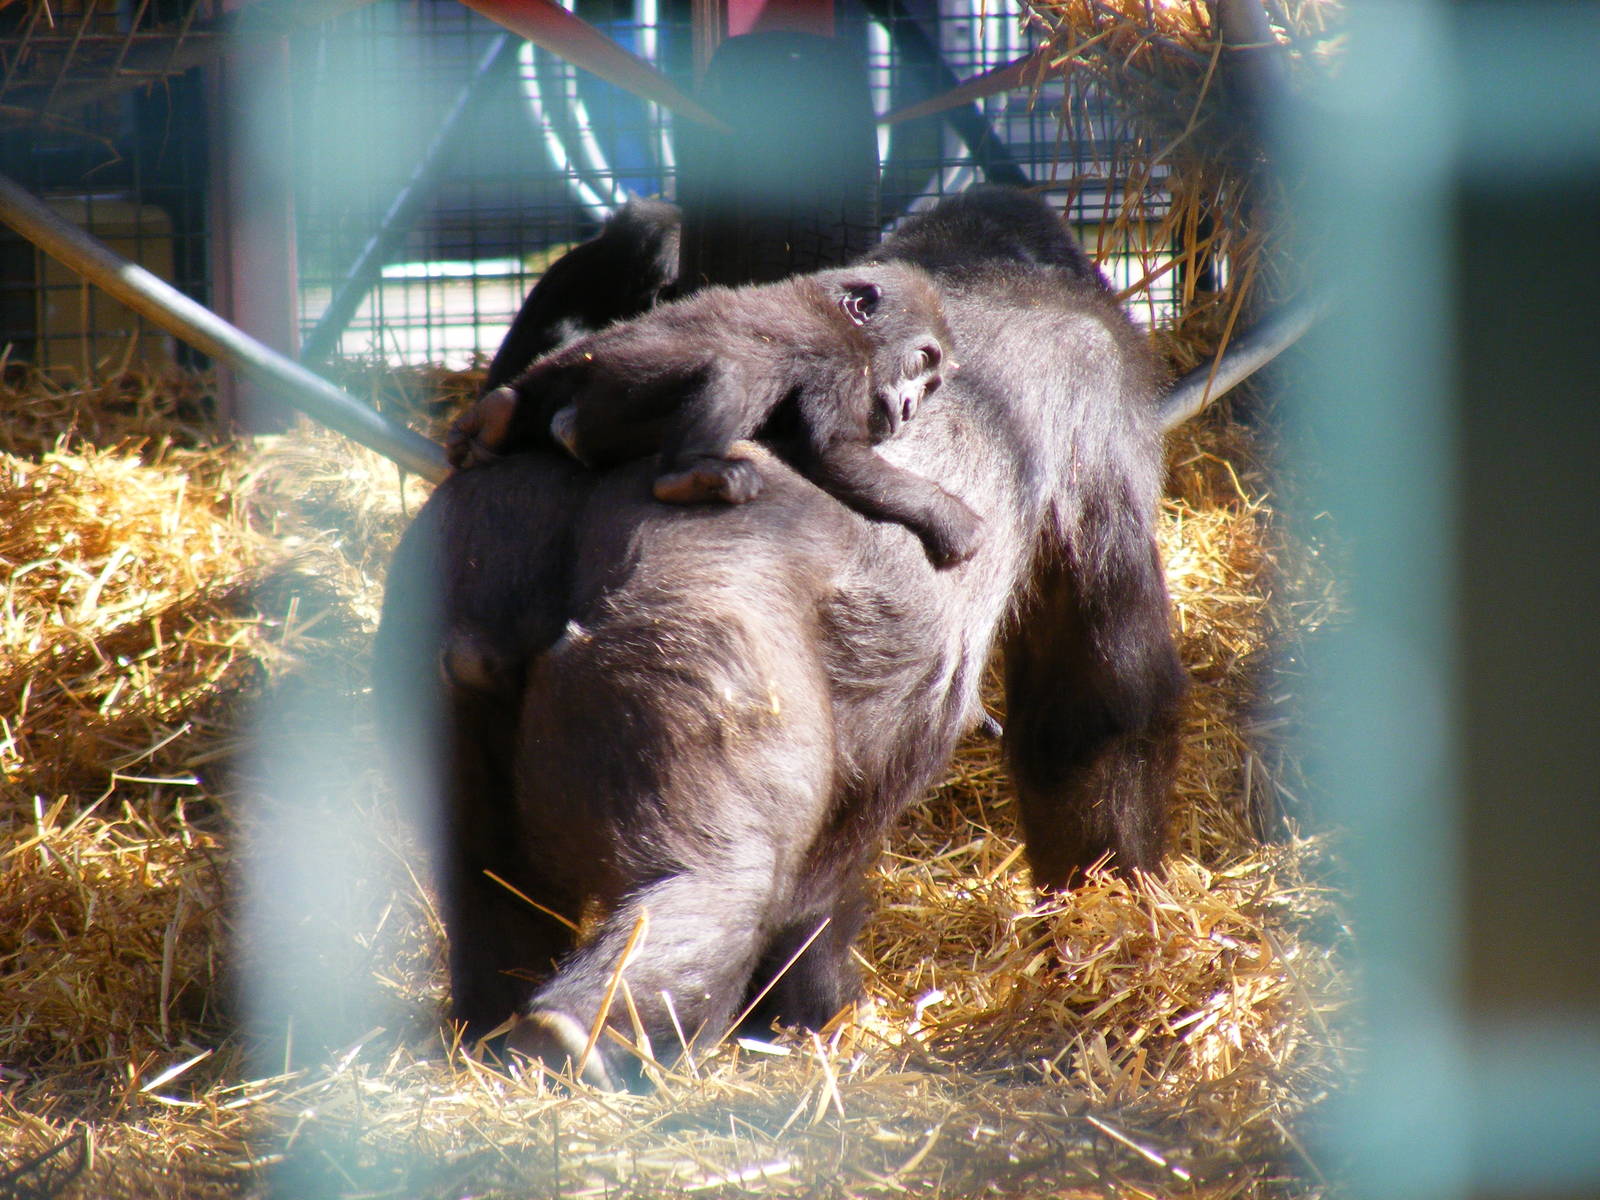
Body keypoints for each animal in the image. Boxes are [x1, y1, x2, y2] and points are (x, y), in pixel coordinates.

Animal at [449, 261, 982, 569]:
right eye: (919, 363)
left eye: (931, 387)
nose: (911, 408)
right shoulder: (841, 359)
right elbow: (835, 451)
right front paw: (949, 517)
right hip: (613, 387)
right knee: (729, 373)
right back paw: (688, 476)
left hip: (572, 371)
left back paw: (498, 414)